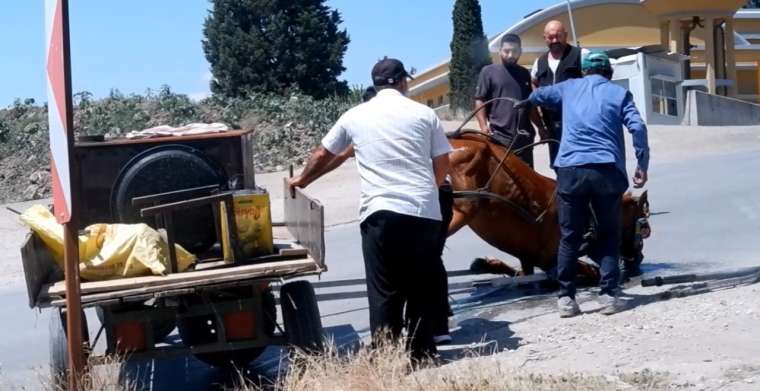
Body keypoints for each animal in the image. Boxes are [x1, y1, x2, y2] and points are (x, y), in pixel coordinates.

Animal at [448, 132, 652, 282]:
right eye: (644, 230)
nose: (639, 260)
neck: (590, 213)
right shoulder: (551, 259)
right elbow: (591, 271)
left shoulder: (528, 259)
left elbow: (518, 273)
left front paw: (484, 264)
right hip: (464, 211)